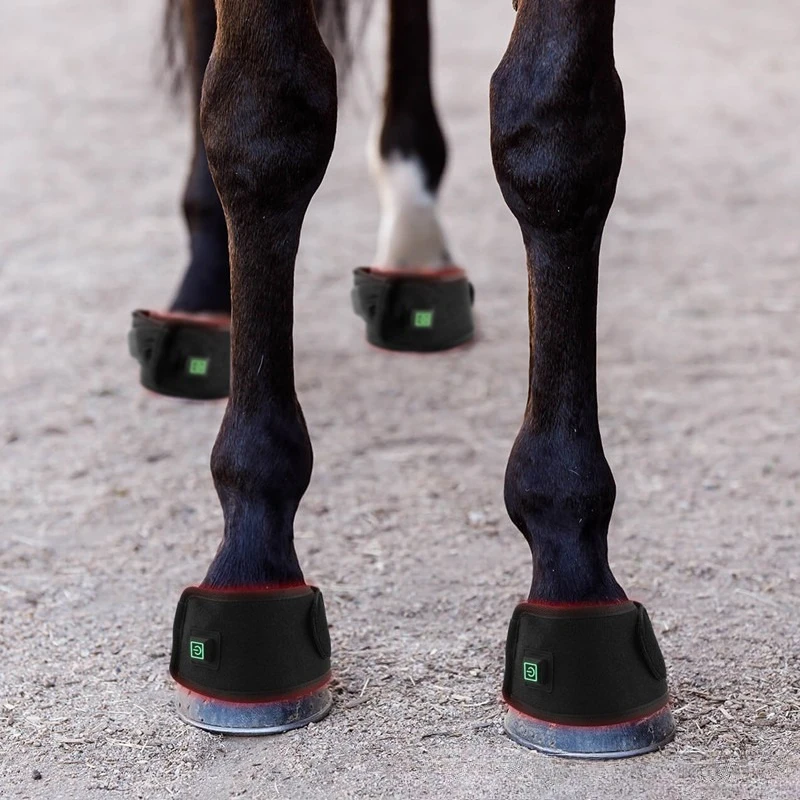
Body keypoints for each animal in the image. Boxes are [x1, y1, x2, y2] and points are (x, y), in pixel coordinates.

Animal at [133, 0, 675, 758]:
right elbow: (262, 119)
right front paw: (251, 560)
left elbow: (557, 135)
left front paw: (573, 568)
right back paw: (203, 293)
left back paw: (415, 248)